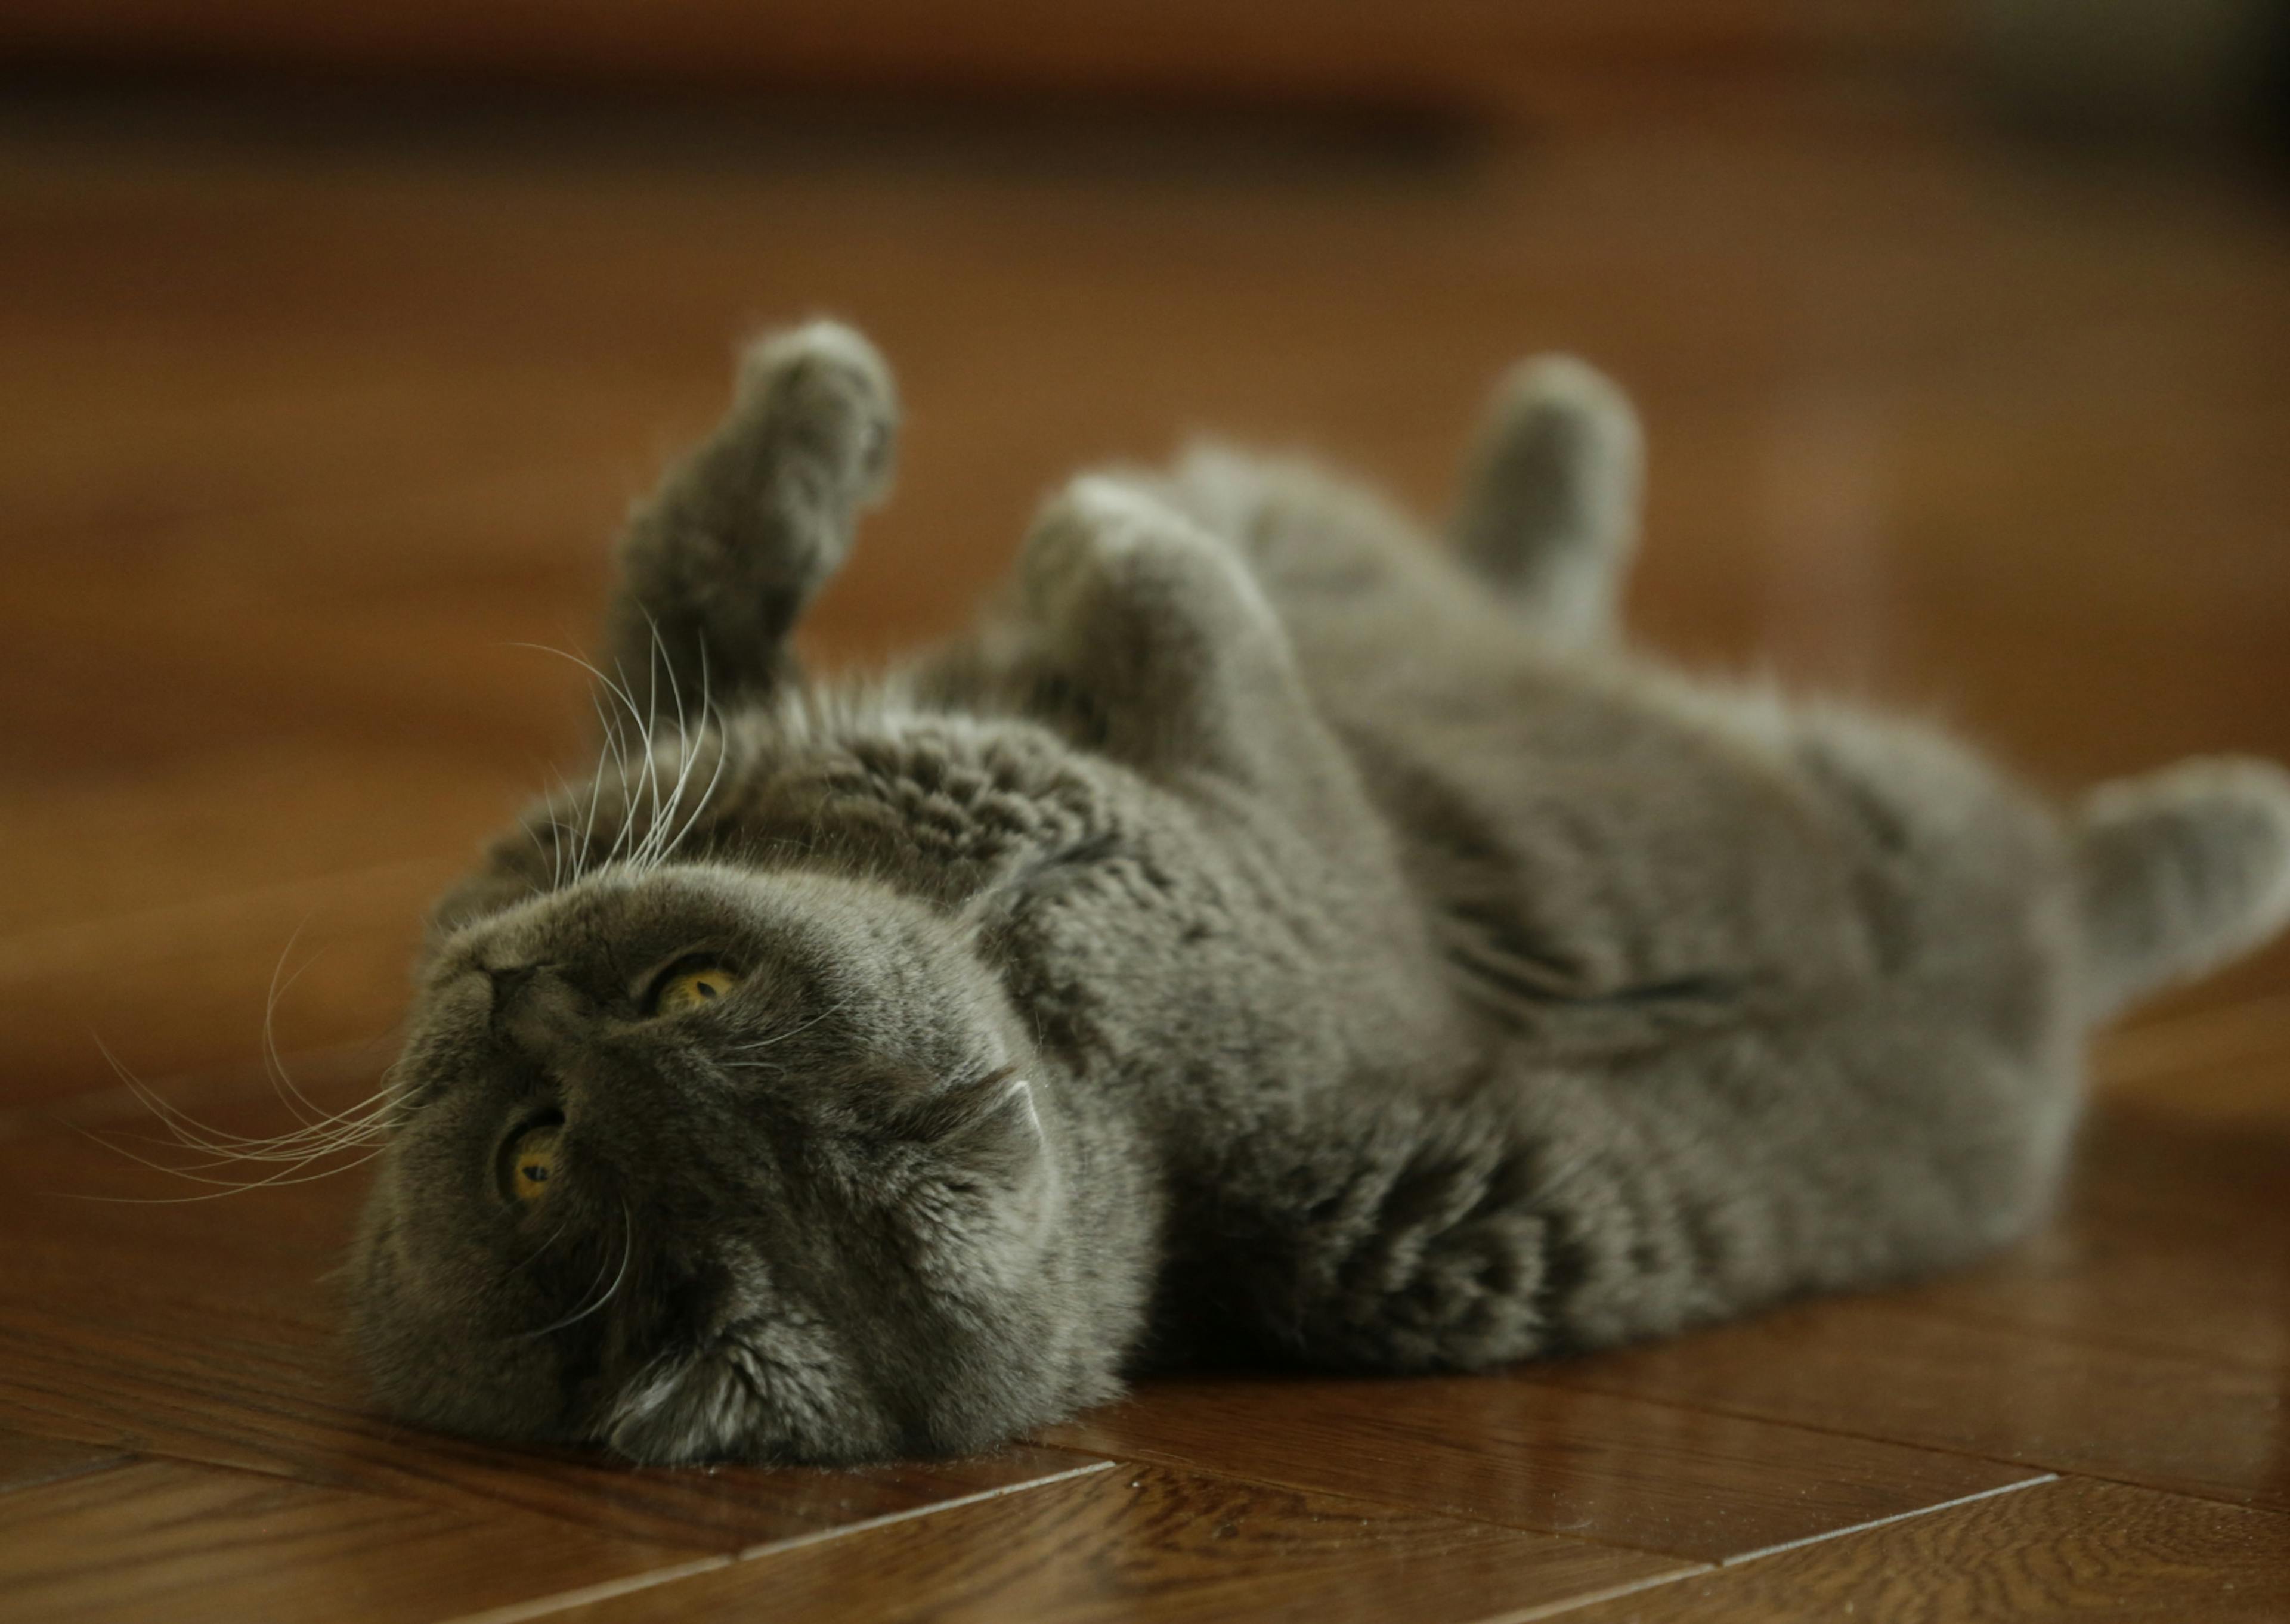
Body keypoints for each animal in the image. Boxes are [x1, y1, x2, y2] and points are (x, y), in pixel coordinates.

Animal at [339, 323, 2290, 1465]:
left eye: (691, 984)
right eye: (533, 1160)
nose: (505, 987)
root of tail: (2028, 979)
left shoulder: (1256, 806)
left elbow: (712, 562)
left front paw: (1006, 474)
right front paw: (1006, 474)